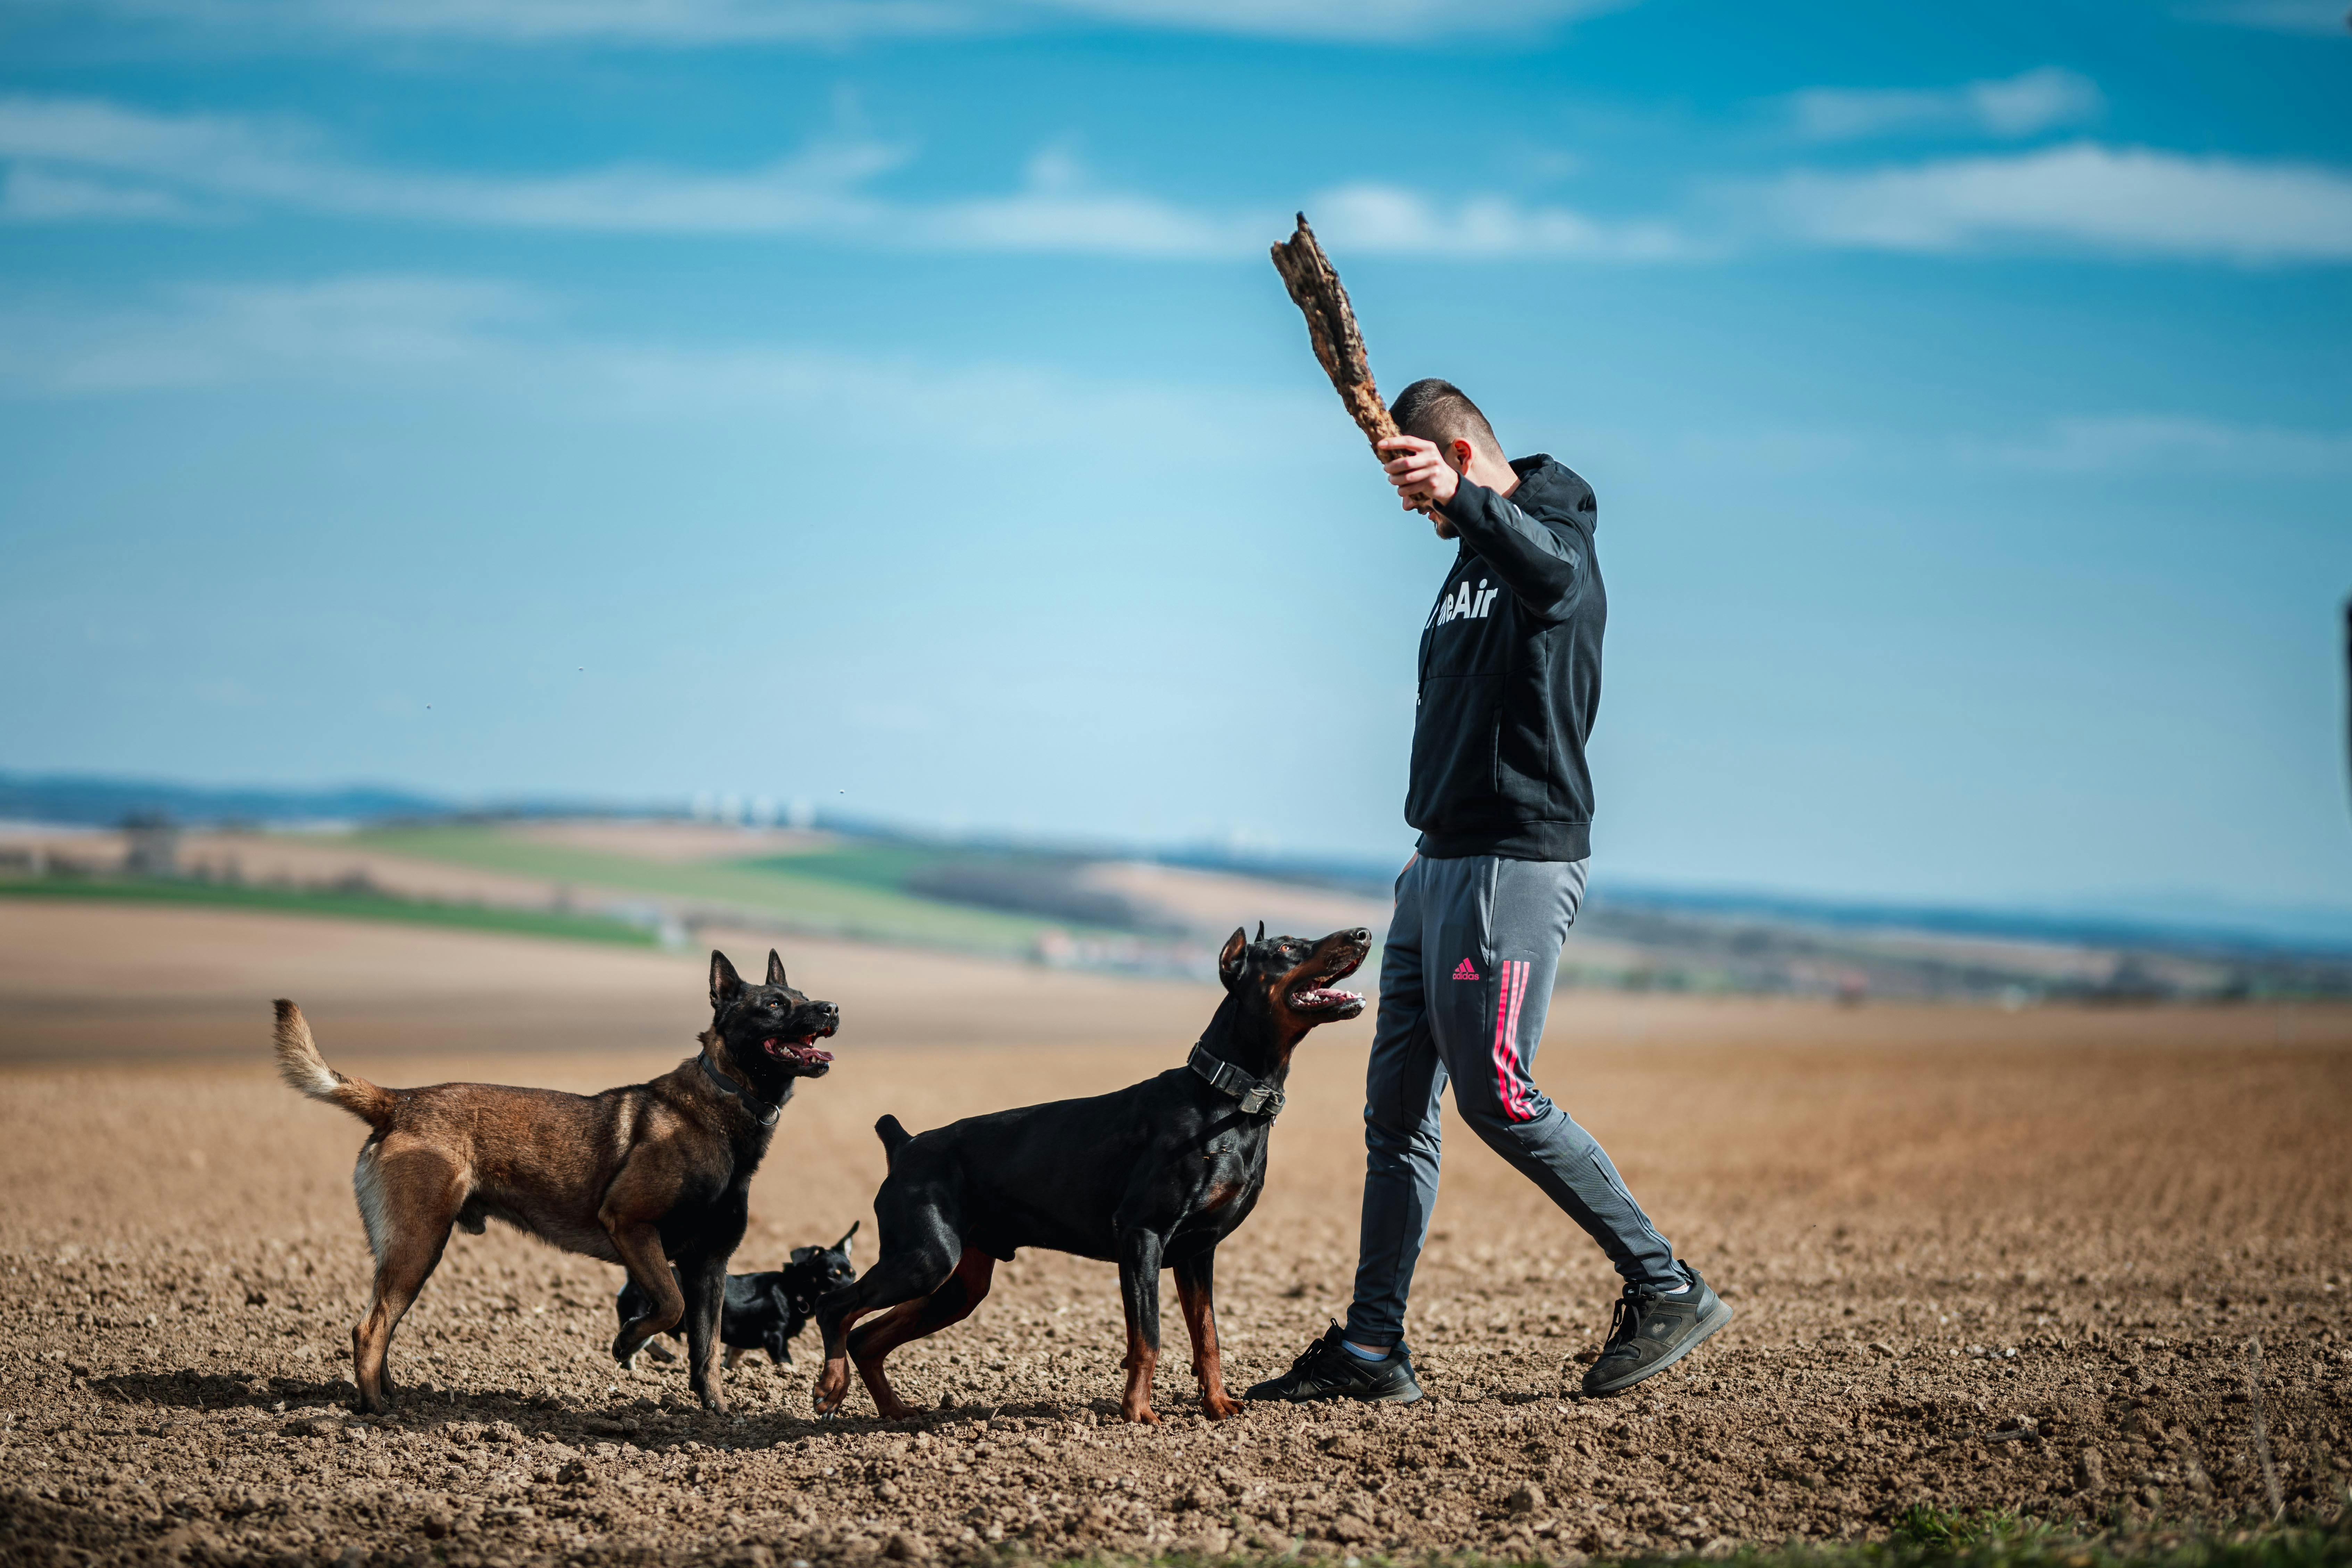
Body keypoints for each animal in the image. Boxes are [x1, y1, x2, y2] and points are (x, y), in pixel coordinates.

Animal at [621, 1222, 861, 1363]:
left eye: (854, 1274)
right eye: (832, 1276)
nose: (854, 1292)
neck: (793, 1291)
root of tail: (632, 1280)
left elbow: (733, 1356)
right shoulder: (775, 1337)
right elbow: (786, 1363)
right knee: (637, 1340)